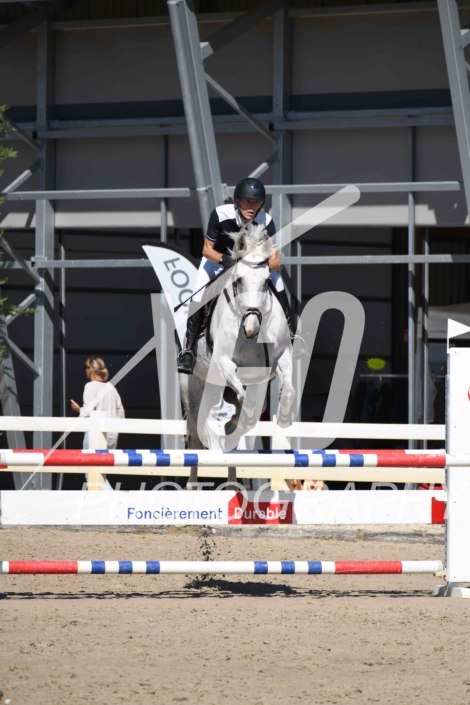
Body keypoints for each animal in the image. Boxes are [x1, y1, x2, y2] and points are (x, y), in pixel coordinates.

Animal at [179, 223, 295, 489]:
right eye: (238, 280)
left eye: (266, 283)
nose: (251, 328)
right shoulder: (223, 362)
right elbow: (247, 402)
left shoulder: (282, 356)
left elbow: (286, 392)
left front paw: (284, 417)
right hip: (195, 393)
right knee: (196, 434)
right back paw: (192, 485)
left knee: (233, 425)